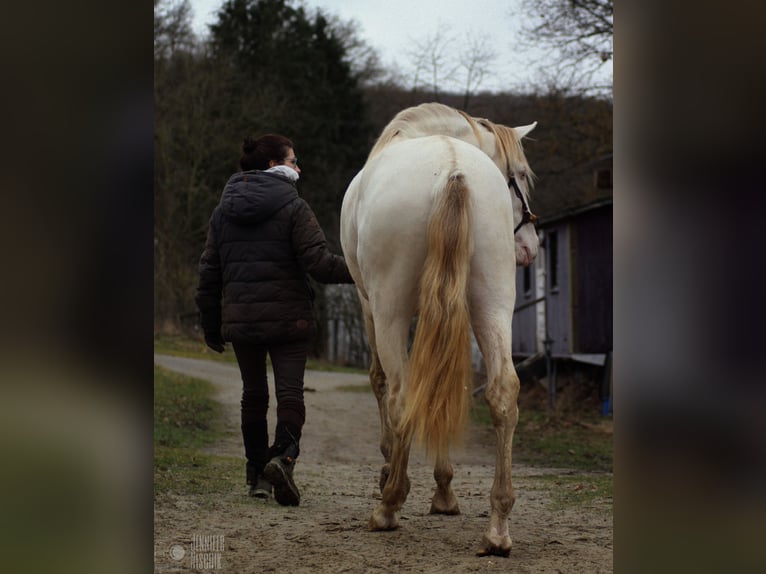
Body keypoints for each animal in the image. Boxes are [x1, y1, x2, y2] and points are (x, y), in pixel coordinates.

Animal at [342, 102, 540, 560]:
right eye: (520, 174)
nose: (531, 247)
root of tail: (452, 170)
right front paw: (445, 491)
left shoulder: (368, 305)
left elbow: (383, 383)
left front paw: (391, 471)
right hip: (492, 302)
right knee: (503, 391)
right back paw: (497, 528)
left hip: (391, 309)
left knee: (400, 396)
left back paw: (389, 505)